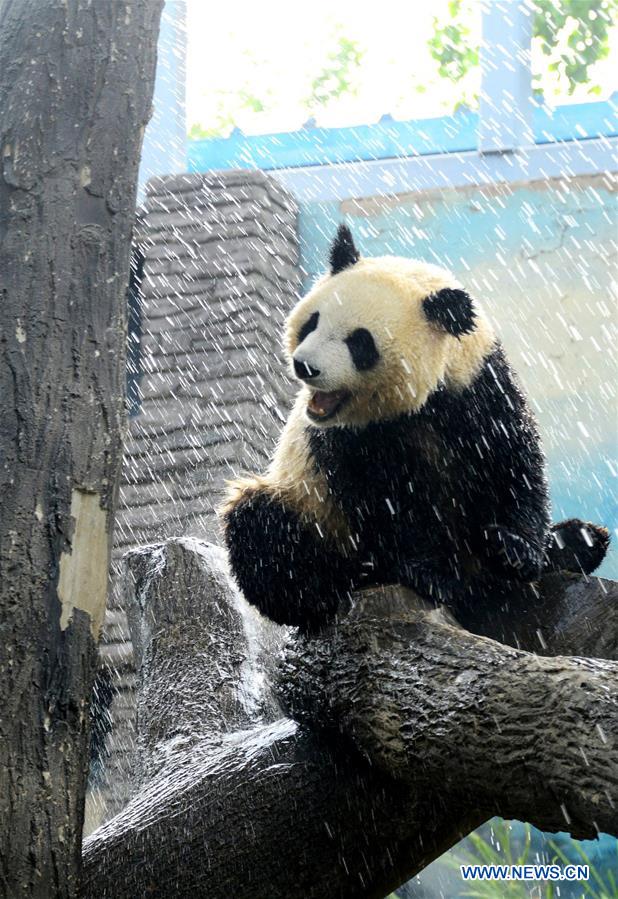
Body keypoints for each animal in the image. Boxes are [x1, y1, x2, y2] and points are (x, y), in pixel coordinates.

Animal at [222, 225, 609, 632]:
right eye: (313, 322)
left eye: (359, 342)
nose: (305, 366)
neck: (417, 403)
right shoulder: (347, 437)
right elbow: (383, 499)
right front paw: (432, 573)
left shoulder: (478, 385)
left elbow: (511, 463)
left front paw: (514, 549)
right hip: (310, 506)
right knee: (263, 528)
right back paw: (343, 582)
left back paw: (575, 542)